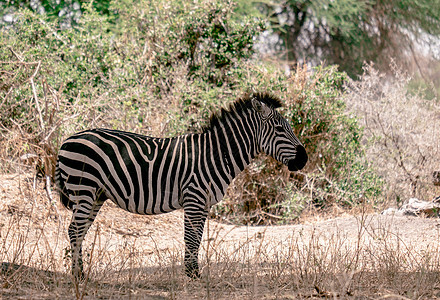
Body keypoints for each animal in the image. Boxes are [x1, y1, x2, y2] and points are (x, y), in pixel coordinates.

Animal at [56, 92, 308, 280]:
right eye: (280, 130)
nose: (304, 159)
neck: (216, 154)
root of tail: (67, 140)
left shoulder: (204, 203)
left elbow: (197, 237)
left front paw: (193, 272)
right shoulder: (194, 198)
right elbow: (191, 237)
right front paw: (192, 274)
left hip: (95, 195)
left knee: (79, 231)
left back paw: (81, 273)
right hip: (84, 189)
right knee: (74, 230)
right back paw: (78, 276)